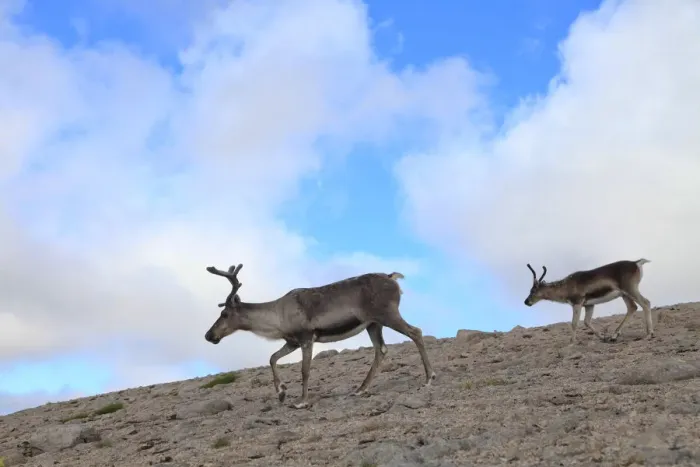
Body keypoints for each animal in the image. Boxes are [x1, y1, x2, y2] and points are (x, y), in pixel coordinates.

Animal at [203, 263, 436, 409]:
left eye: (224, 314)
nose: (208, 335)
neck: (277, 319)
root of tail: (392, 278)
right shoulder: (292, 341)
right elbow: (272, 358)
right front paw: (281, 392)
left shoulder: (306, 337)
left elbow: (305, 370)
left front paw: (301, 401)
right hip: (373, 324)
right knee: (381, 349)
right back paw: (360, 389)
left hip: (387, 314)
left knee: (415, 332)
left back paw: (429, 378)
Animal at [523, 258, 654, 345]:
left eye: (533, 290)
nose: (526, 302)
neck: (566, 286)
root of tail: (636, 263)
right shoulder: (589, 305)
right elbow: (586, 322)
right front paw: (603, 338)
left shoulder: (577, 303)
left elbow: (574, 323)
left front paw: (572, 342)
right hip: (624, 294)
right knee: (632, 308)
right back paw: (613, 336)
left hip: (630, 290)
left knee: (646, 303)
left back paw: (649, 334)